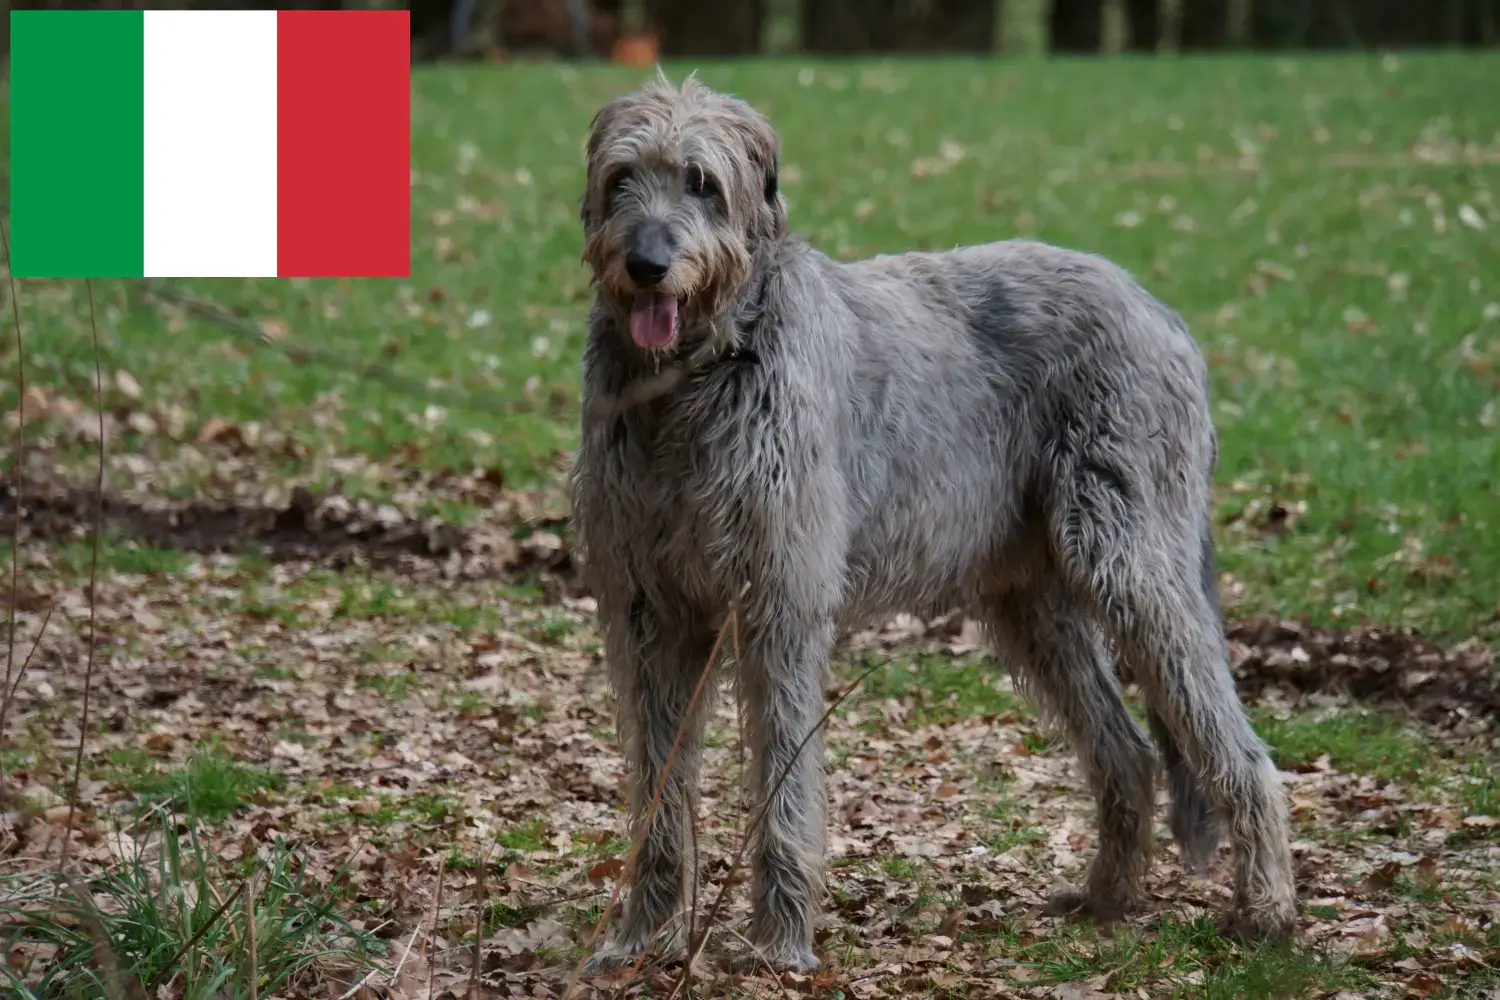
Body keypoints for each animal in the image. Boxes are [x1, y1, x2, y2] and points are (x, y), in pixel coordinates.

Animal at [567, 72, 1296, 977]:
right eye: (623, 178)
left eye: (703, 182)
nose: (647, 265)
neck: (696, 378)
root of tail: (1162, 312)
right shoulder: (650, 610)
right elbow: (658, 785)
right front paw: (638, 936)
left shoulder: (780, 603)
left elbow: (784, 783)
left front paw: (781, 944)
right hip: (1034, 601)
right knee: (1126, 751)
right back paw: (1107, 898)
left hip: (1133, 558)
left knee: (1239, 749)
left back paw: (1266, 908)